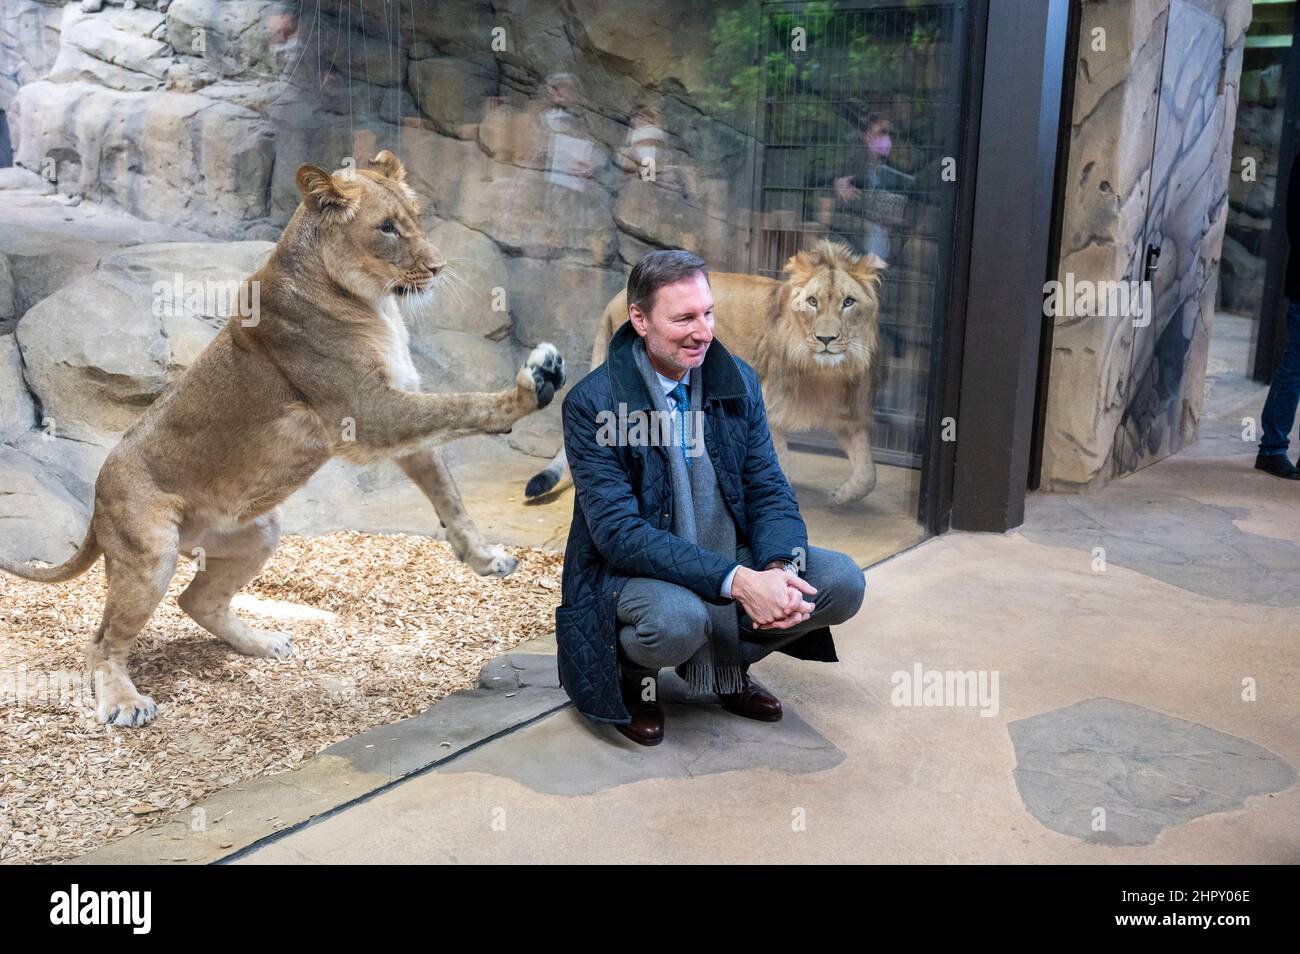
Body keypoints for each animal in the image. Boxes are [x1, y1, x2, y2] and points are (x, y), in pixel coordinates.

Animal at [2, 153, 566, 727]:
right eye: (387, 227)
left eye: (414, 217)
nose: (438, 268)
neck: (374, 303)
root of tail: (95, 500)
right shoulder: (370, 413)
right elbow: (466, 405)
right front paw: (533, 385)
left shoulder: (396, 416)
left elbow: (448, 493)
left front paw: (484, 558)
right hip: (151, 553)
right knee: (102, 642)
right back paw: (124, 702)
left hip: (258, 530)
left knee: (196, 601)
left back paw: (263, 642)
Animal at [527, 240, 883, 509]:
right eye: (812, 301)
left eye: (848, 302)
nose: (826, 339)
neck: (823, 372)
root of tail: (615, 298)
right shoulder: (769, 406)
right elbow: (778, 460)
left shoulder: (846, 413)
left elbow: (868, 473)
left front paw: (841, 496)